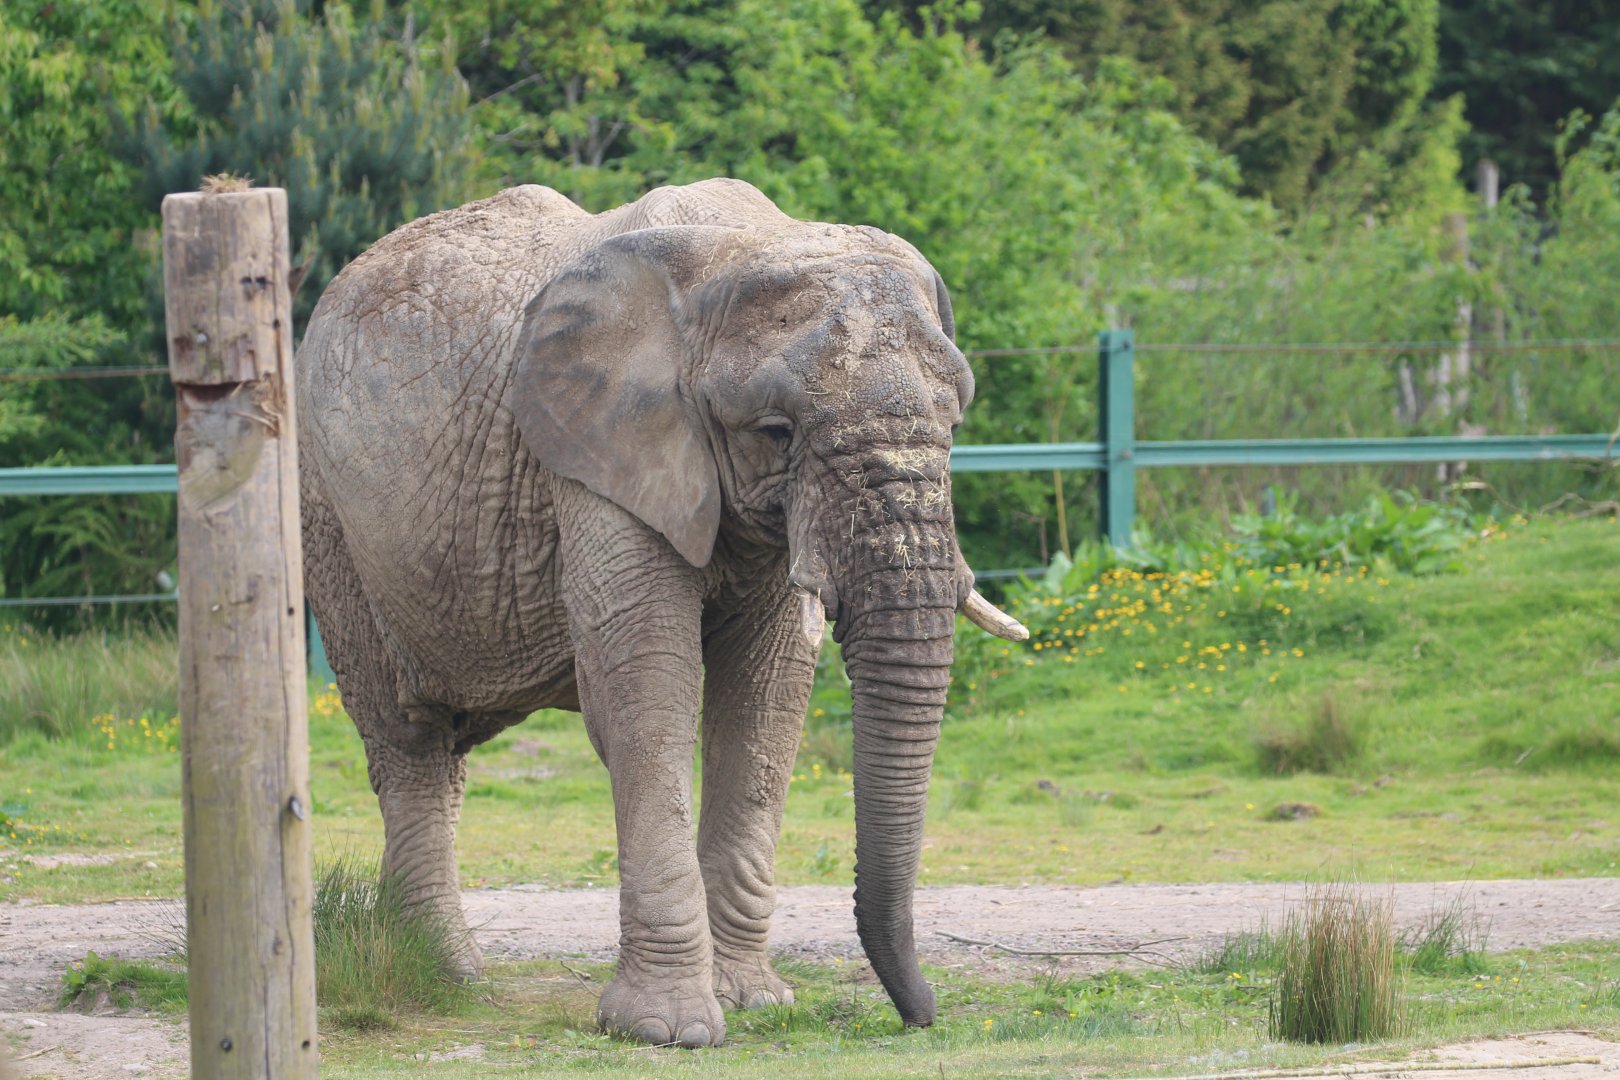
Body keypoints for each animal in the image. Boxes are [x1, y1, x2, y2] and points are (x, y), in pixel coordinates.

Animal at [296, 178, 1027, 1047]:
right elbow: (647, 691)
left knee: (445, 752)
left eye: (956, 422)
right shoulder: (597, 450)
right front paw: (667, 1030)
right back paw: (448, 974)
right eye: (776, 431)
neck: (736, 252)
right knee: (407, 738)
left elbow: (766, 702)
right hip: (328, 517)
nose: (919, 1016)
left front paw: (753, 1003)